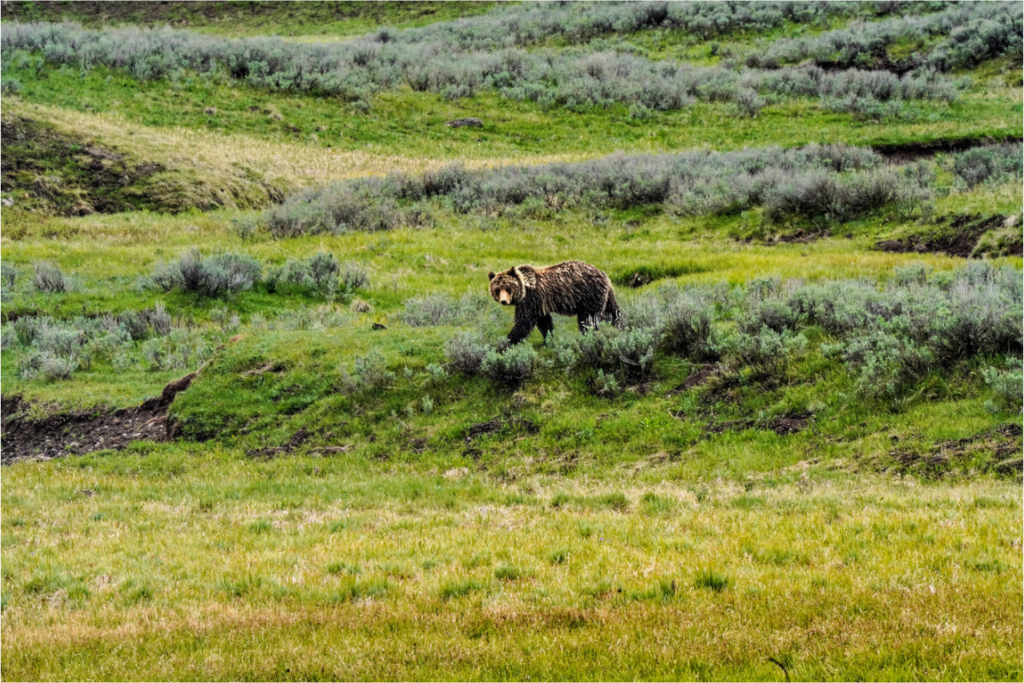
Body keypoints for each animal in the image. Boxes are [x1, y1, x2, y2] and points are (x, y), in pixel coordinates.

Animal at [488, 260, 623, 347]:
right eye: (497, 290)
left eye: (508, 288)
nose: (504, 301)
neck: (525, 289)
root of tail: (603, 274)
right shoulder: (539, 305)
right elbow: (544, 323)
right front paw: (548, 340)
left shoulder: (531, 299)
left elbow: (523, 322)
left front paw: (505, 343)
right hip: (606, 296)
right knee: (613, 313)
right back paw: (624, 328)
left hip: (589, 294)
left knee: (588, 319)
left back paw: (587, 337)